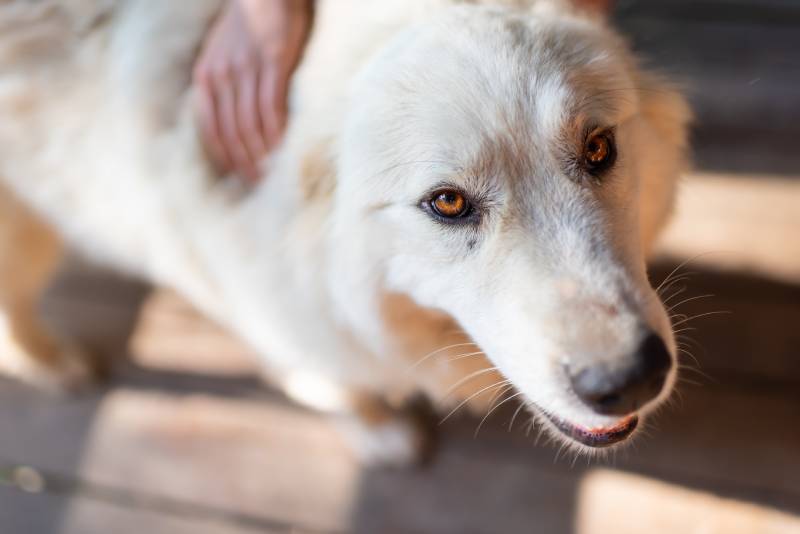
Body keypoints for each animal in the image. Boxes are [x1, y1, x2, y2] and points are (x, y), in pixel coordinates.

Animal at [0, 0, 688, 464]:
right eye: (447, 202)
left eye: (598, 149)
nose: (631, 379)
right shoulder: (275, 299)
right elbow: (335, 375)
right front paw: (377, 429)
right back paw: (53, 364)